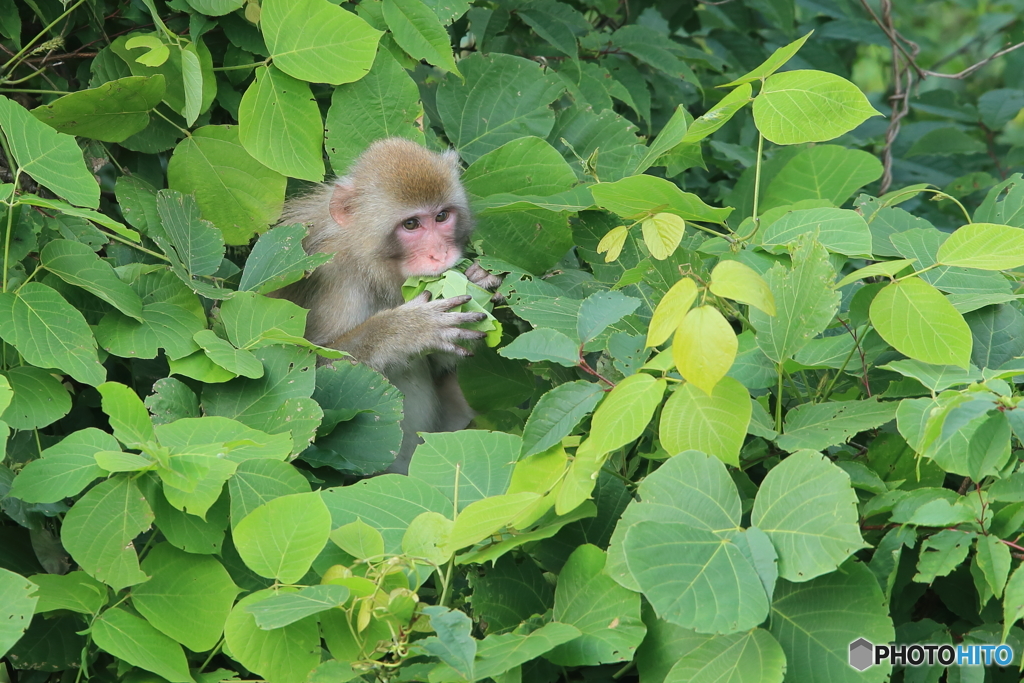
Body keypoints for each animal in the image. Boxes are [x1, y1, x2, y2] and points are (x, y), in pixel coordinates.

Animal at [274, 136, 501, 473]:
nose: (440, 254)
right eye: (411, 224)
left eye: (441, 217)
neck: (367, 262)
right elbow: (309, 382)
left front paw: (477, 278)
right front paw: (405, 330)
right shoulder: (335, 280)